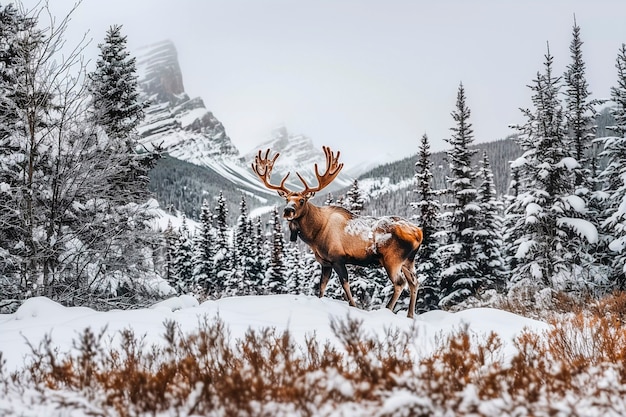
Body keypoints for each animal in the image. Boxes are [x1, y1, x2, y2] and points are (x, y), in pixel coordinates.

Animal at [251, 145, 422, 316]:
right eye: (286, 199)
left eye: (302, 200)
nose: (287, 210)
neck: (314, 235)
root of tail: (419, 233)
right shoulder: (325, 262)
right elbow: (321, 288)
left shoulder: (337, 258)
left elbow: (345, 285)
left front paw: (354, 306)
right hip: (408, 261)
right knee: (414, 282)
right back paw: (410, 315)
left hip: (392, 260)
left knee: (400, 283)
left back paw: (387, 310)